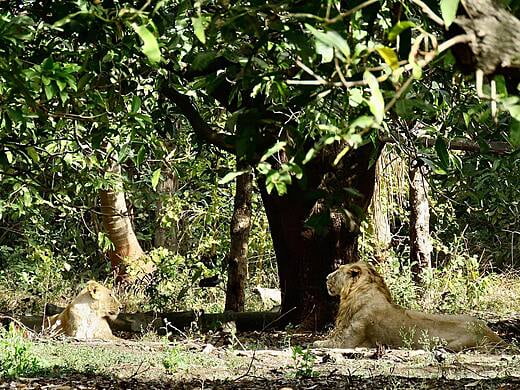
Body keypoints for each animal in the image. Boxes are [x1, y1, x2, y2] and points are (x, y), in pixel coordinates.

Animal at [314, 262, 506, 350]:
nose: (325, 277)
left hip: (454, 345)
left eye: (338, 271)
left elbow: (318, 343)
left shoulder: (348, 341)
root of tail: (492, 334)